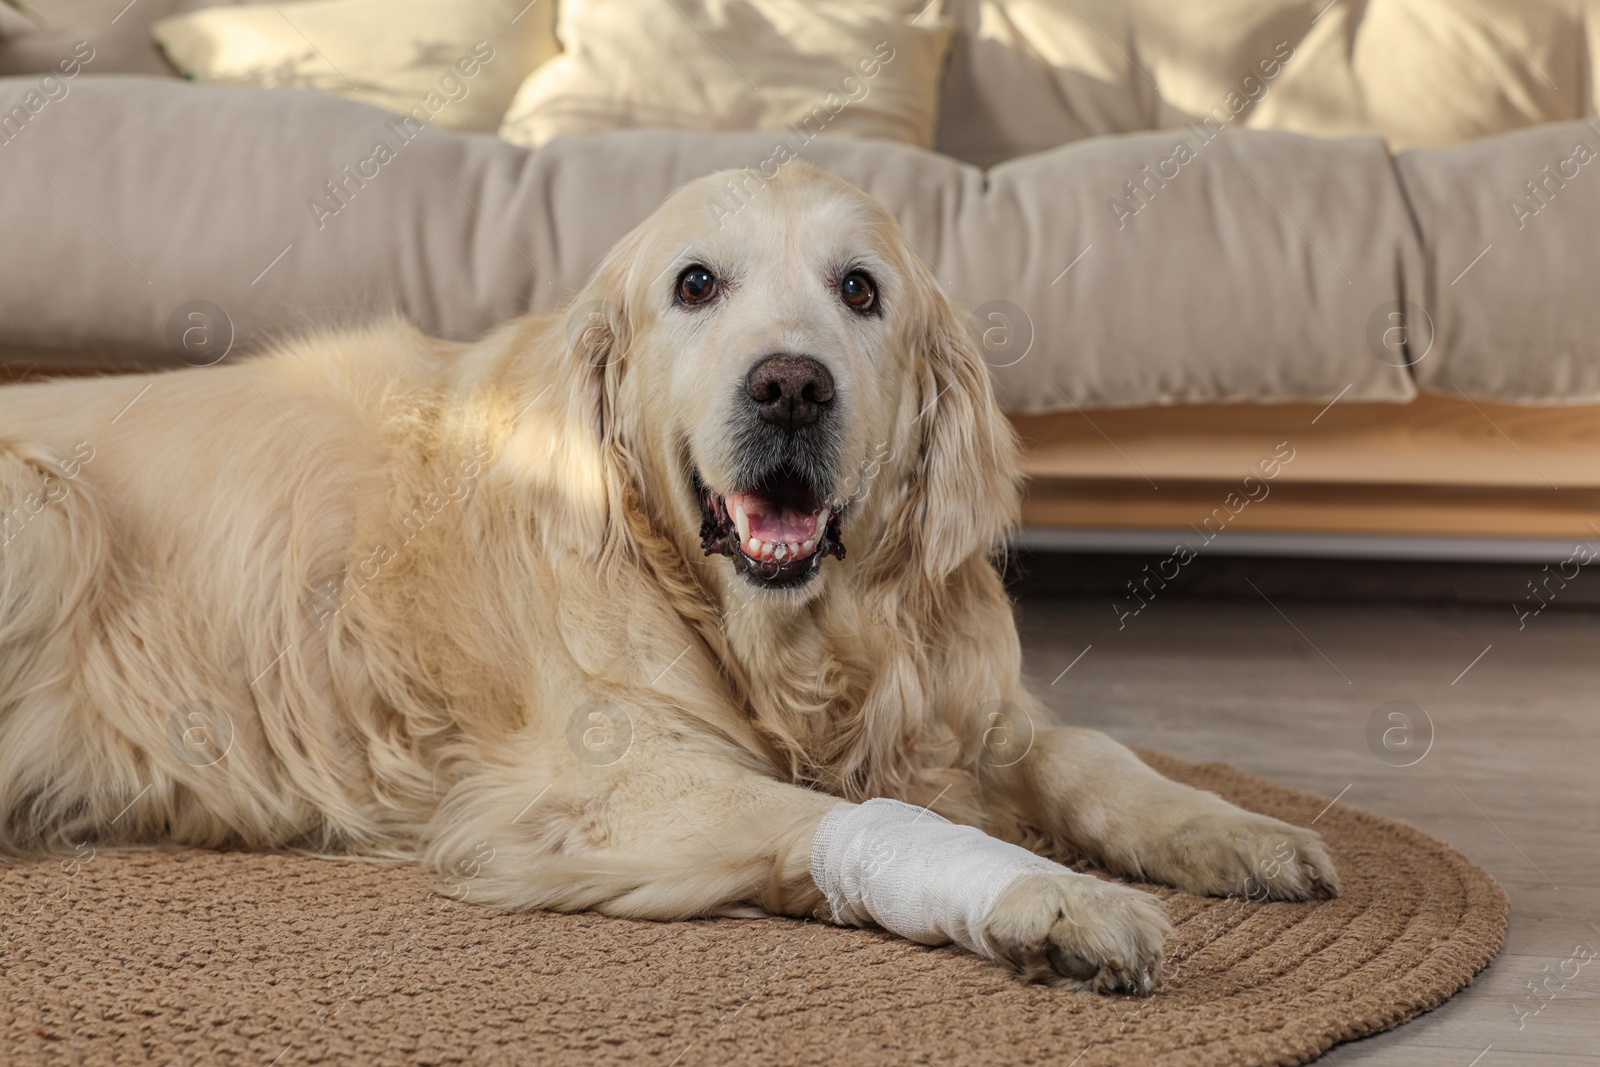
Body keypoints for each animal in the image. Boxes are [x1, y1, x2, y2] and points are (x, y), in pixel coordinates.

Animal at [0, 164, 1337, 991]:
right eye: (696, 283)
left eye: (860, 289)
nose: (790, 385)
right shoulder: (603, 784)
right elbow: (855, 819)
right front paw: (1050, 899)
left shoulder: (968, 703)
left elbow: (1089, 755)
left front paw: (1234, 828)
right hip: (48, 511)